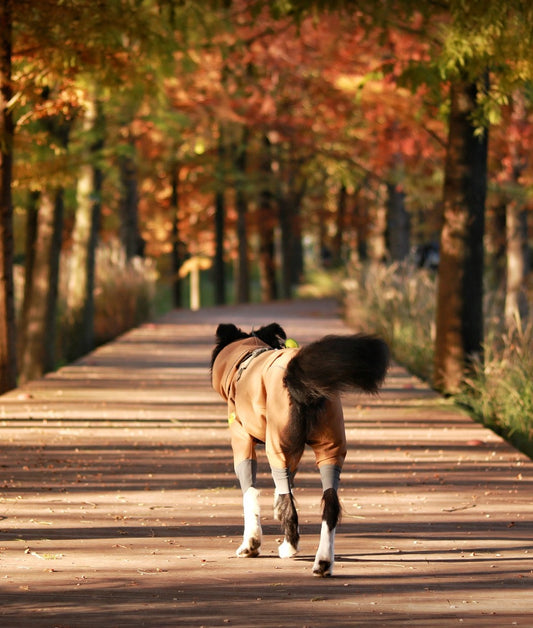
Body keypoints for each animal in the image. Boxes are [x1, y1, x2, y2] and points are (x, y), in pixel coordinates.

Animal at [210, 322, 388, 576]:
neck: (247, 355)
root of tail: (297, 375)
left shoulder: (241, 438)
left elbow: (251, 494)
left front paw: (251, 544)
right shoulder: (293, 452)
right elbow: (285, 484)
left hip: (278, 443)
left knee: (291, 507)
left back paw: (290, 547)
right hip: (329, 446)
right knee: (330, 504)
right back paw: (323, 562)